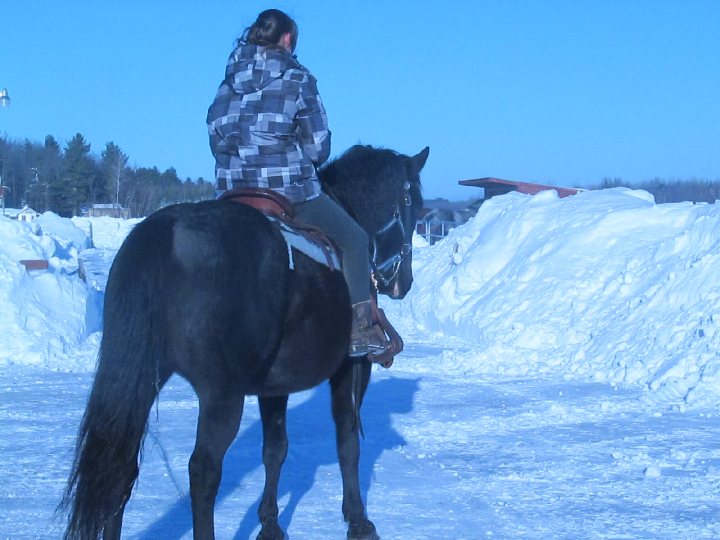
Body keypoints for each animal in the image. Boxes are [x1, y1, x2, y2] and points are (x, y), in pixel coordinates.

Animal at [60, 144, 429, 540]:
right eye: (413, 202)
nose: (402, 282)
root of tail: (167, 231)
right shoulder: (351, 367)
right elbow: (347, 443)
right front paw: (358, 520)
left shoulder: (275, 384)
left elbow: (275, 449)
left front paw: (270, 523)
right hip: (221, 394)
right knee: (203, 471)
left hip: (142, 377)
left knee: (121, 466)